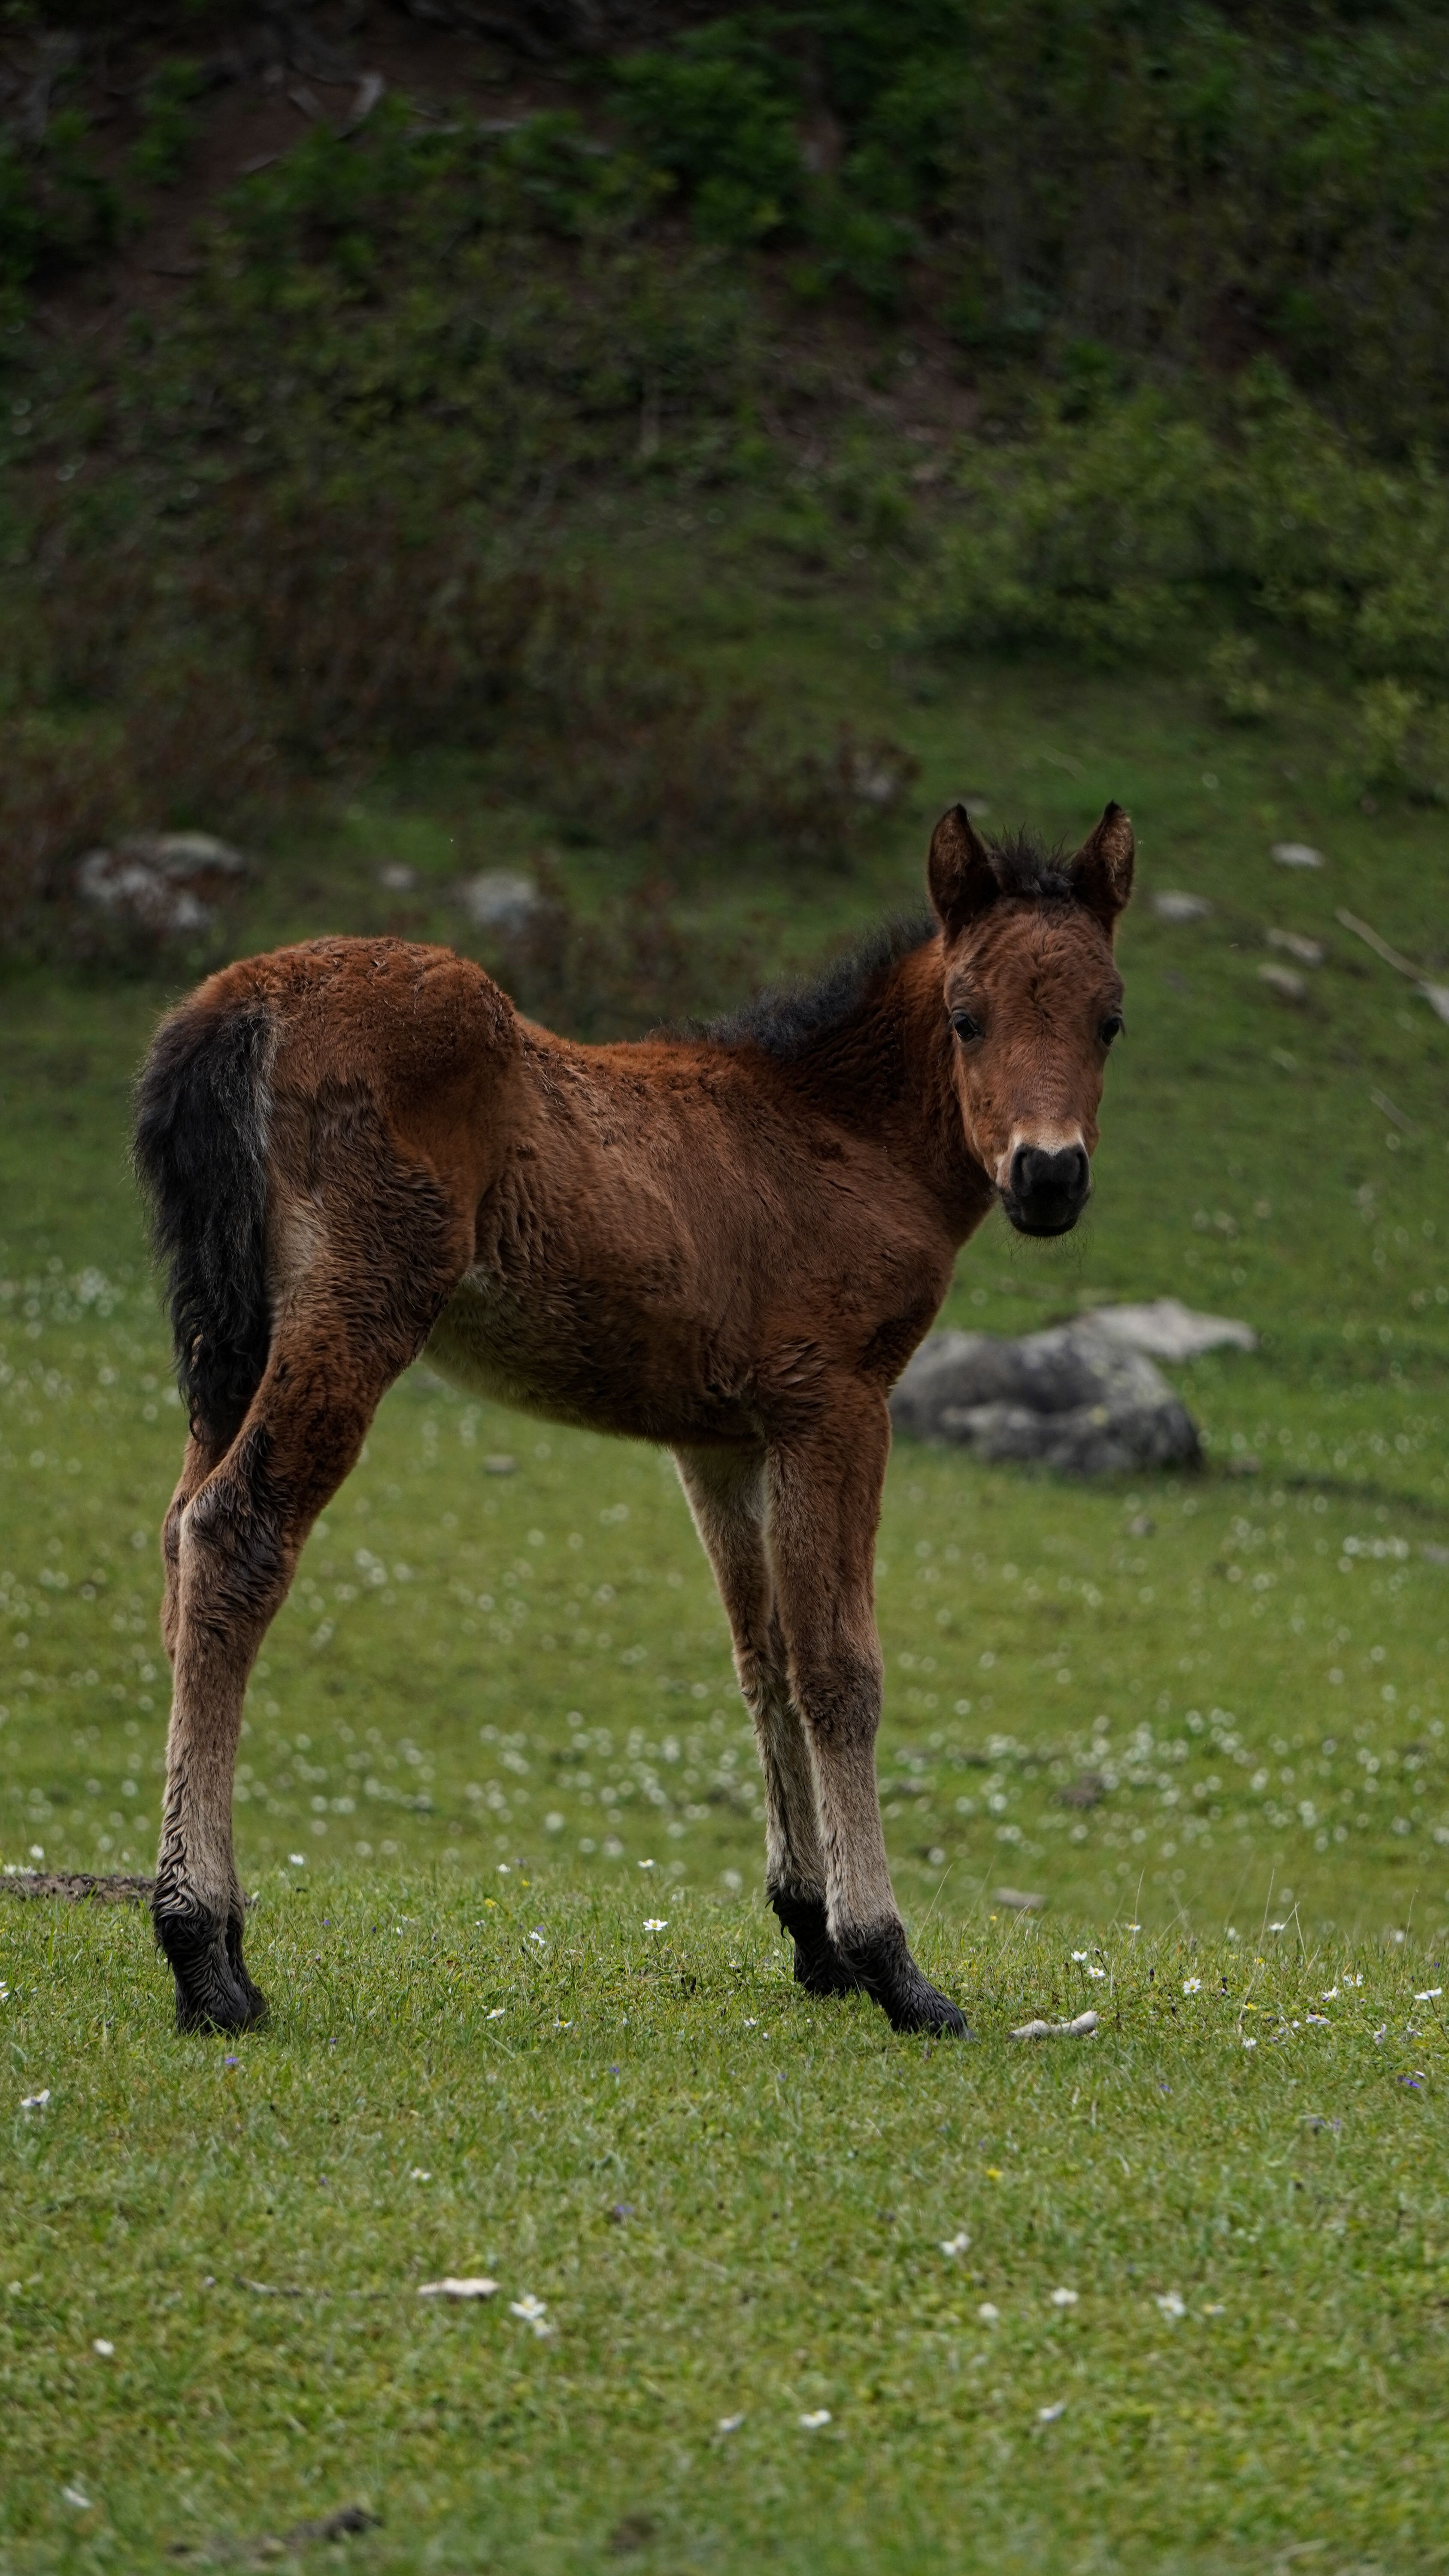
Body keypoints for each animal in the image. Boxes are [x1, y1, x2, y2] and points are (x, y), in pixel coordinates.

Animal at [132, 799, 1132, 2039]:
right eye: (967, 1018)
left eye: (1109, 1021)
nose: (1049, 1177)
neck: (842, 1138)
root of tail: (240, 1003)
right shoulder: (838, 1403)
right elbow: (840, 1672)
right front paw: (891, 1962)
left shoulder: (725, 1439)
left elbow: (765, 1660)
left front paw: (811, 1934)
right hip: (357, 1309)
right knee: (237, 1533)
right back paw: (201, 1955)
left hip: (230, 1341)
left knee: (180, 1537)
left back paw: (222, 1938)